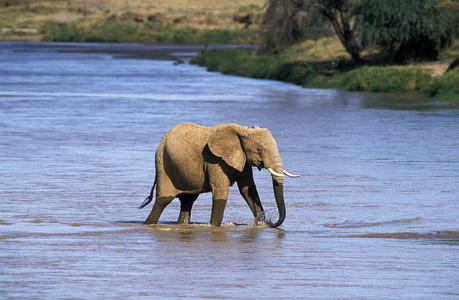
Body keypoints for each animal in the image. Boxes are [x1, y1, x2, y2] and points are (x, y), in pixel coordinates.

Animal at [138, 123, 300, 226]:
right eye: (259, 150)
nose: (271, 223)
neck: (243, 131)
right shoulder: (214, 159)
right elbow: (221, 192)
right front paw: (214, 226)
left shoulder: (242, 159)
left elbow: (248, 189)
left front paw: (259, 224)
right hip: (163, 165)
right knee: (163, 201)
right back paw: (148, 224)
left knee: (187, 201)